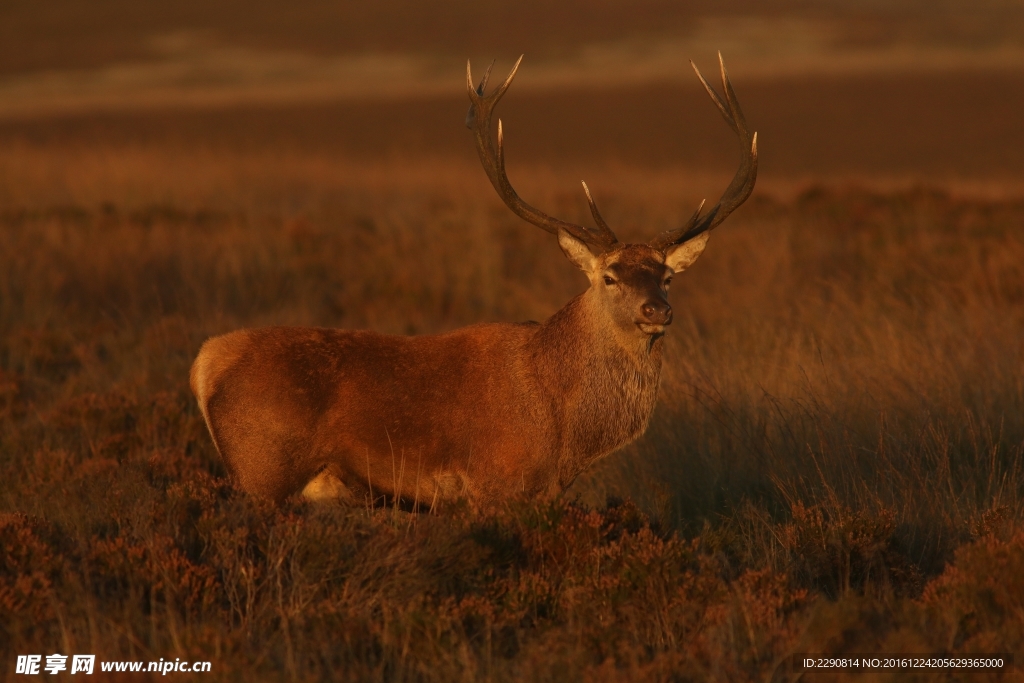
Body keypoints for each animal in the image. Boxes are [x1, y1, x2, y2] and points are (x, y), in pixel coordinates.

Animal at [190, 53, 757, 509]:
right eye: (611, 277)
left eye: (667, 276)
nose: (656, 310)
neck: (565, 427)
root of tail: (205, 363)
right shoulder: (496, 484)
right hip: (262, 472)